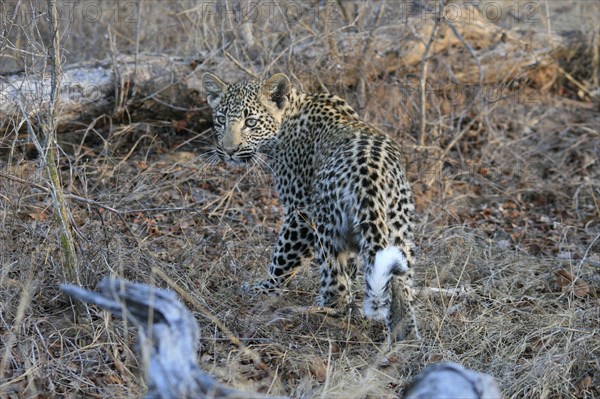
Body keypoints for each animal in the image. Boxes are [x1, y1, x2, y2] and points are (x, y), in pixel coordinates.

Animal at [204, 72, 420, 340]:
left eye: (251, 122)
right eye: (221, 120)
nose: (229, 151)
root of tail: (371, 176)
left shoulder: (300, 212)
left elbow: (282, 259)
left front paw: (263, 289)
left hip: (326, 225)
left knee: (337, 287)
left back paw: (315, 313)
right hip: (398, 230)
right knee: (402, 287)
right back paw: (406, 338)